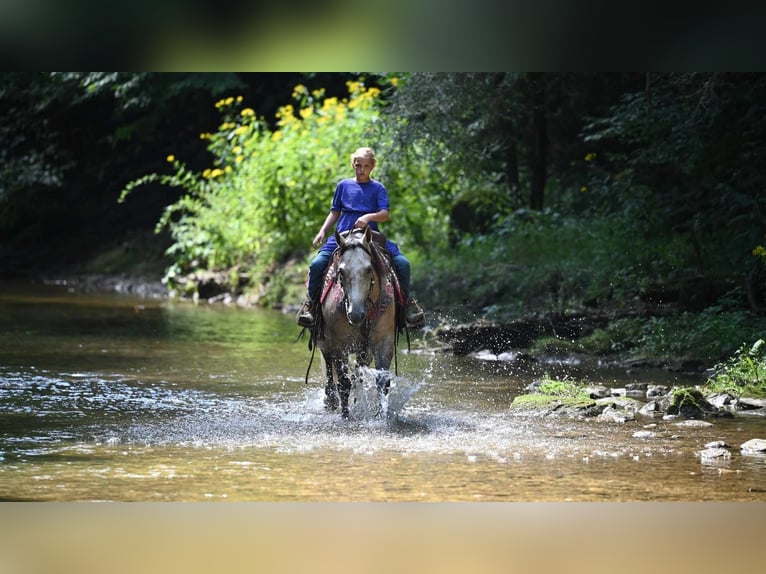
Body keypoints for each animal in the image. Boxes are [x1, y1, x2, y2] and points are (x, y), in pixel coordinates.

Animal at [304, 227, 404, 420]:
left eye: (368, 269)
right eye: (341, 272)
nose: (356, 314)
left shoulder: (383, 341)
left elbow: (382, 381)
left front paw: (381, 416)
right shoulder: (338, 346)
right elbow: (343, 383)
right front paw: (345, 416)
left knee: (358, 374)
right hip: (324, 343)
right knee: (330, 371)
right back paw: (330, 401)